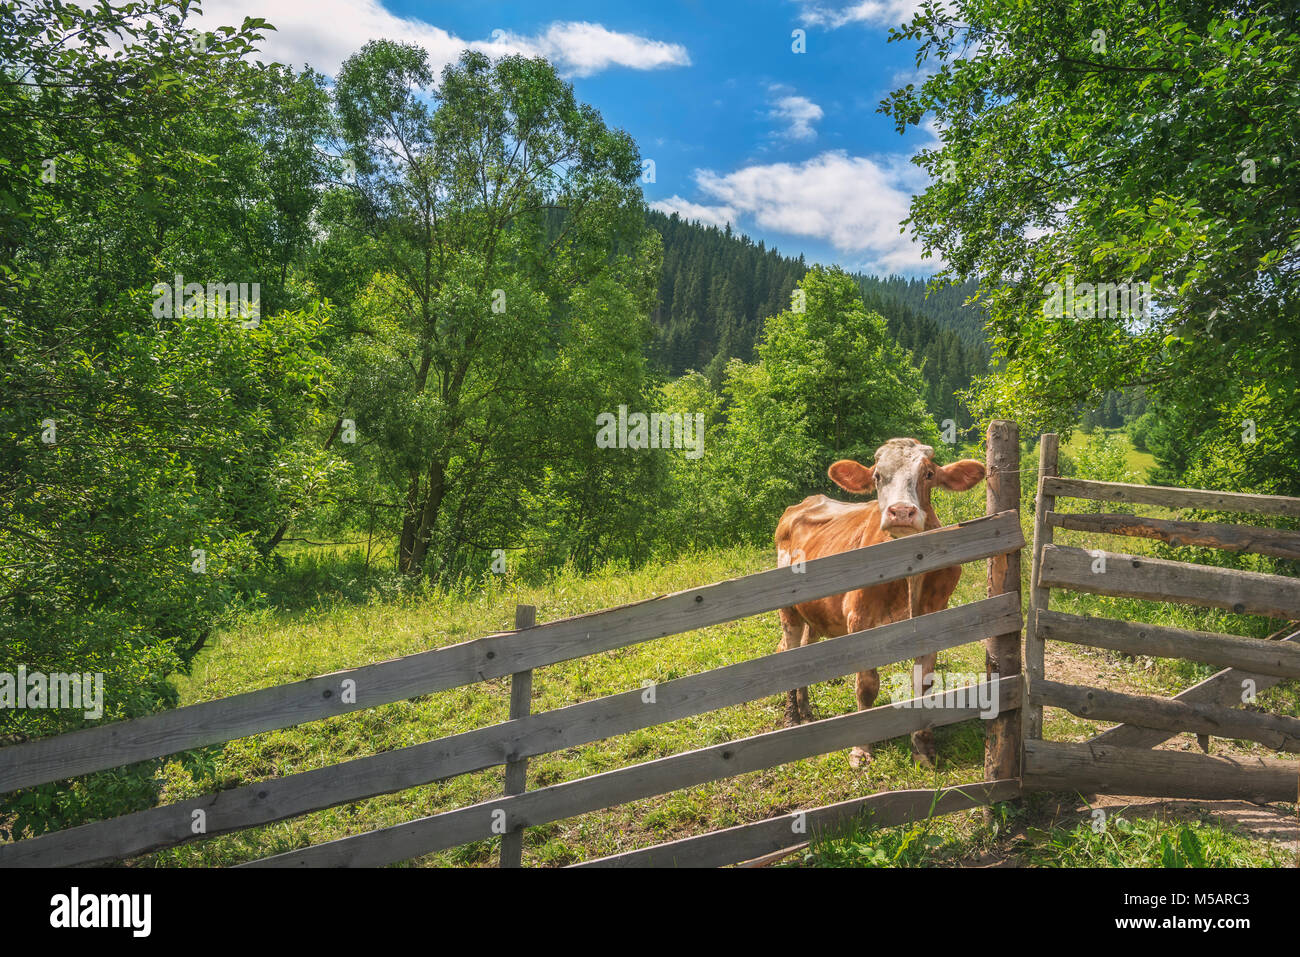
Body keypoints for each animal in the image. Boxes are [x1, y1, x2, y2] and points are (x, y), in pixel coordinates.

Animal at [774, 437, 986, 769]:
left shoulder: (933, 621)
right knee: (788, 652)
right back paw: (792, 719)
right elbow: (867, 686)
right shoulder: (860, 622)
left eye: (928, 474)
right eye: (876, 476)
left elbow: (923, 683)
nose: (901, 512)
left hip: (815, 613)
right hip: (789, 610)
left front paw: (922, 747)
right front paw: (861, 749)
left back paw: (806, 712)